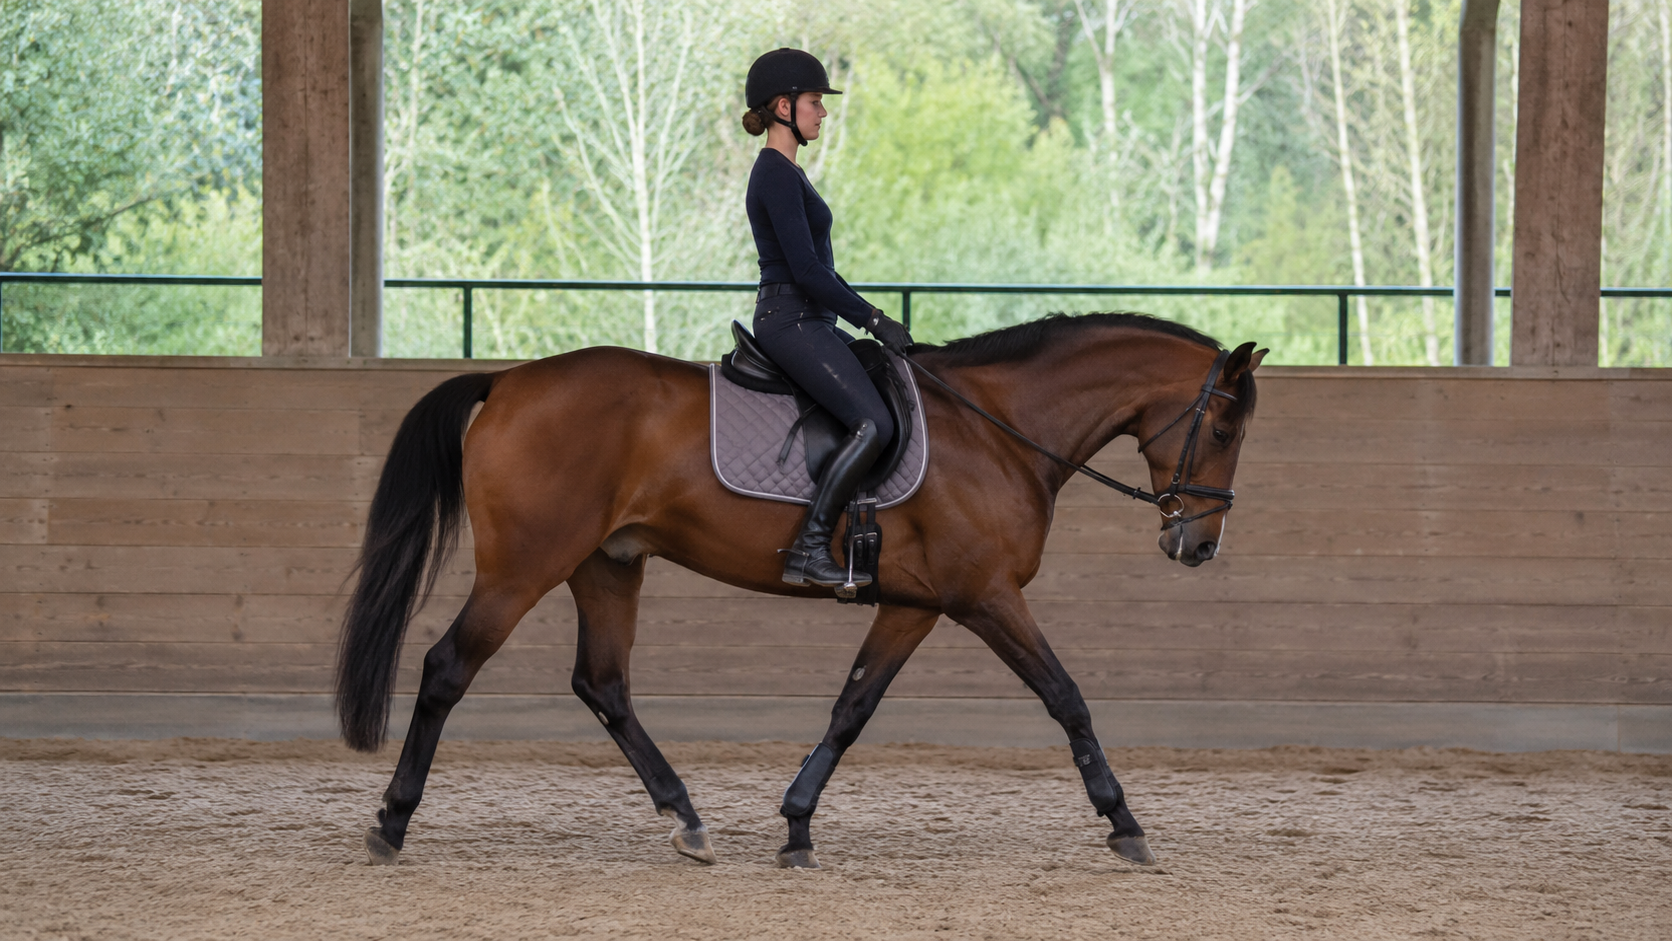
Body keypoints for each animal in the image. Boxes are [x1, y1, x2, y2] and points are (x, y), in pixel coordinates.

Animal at [335, 311, 1265, 869]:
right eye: (1223, 427)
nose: (1198, 543)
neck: (997, 429)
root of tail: (508, 379)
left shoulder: (915, 605)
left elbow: (851, 708)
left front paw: (795, 825)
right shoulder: (986, 597)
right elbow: (1067, 697)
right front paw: (1125, 823)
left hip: (608, 562)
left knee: (603, 683)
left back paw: (687, 817)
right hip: (525, 564)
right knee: (448, 667)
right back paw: (392, 822)